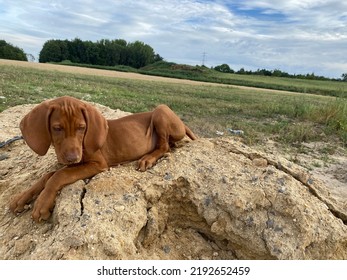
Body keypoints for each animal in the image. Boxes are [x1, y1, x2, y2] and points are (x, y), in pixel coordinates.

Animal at [9, 95, 197, 222]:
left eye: (81, 127)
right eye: (57, 128)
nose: (72, 158)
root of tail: (182, 123)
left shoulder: (98, 164)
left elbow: (59, 175)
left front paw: (42, 204)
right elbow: (47, 176)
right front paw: (23, 197)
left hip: (160, 111)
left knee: (164, 146)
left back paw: (148, 159)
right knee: (169, 145)